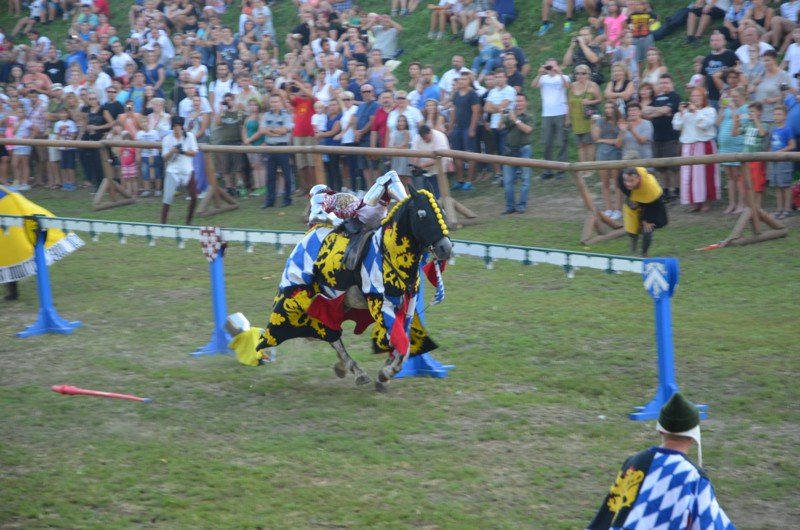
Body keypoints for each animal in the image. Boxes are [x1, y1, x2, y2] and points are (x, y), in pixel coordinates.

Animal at [257, 187, 452, 391]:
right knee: (330, 335)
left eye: (441, 212)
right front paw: (385, 374)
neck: (389, 254)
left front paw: (386, 373)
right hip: (296, 296)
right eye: (422, 215)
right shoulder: (381, 306)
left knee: (331, 334)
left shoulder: (408, 305)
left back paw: (344, 367)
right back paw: (355, 371)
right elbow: (400, 344)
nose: (445, 248)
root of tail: (311, 230)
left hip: (335, 305)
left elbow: (402, 342)